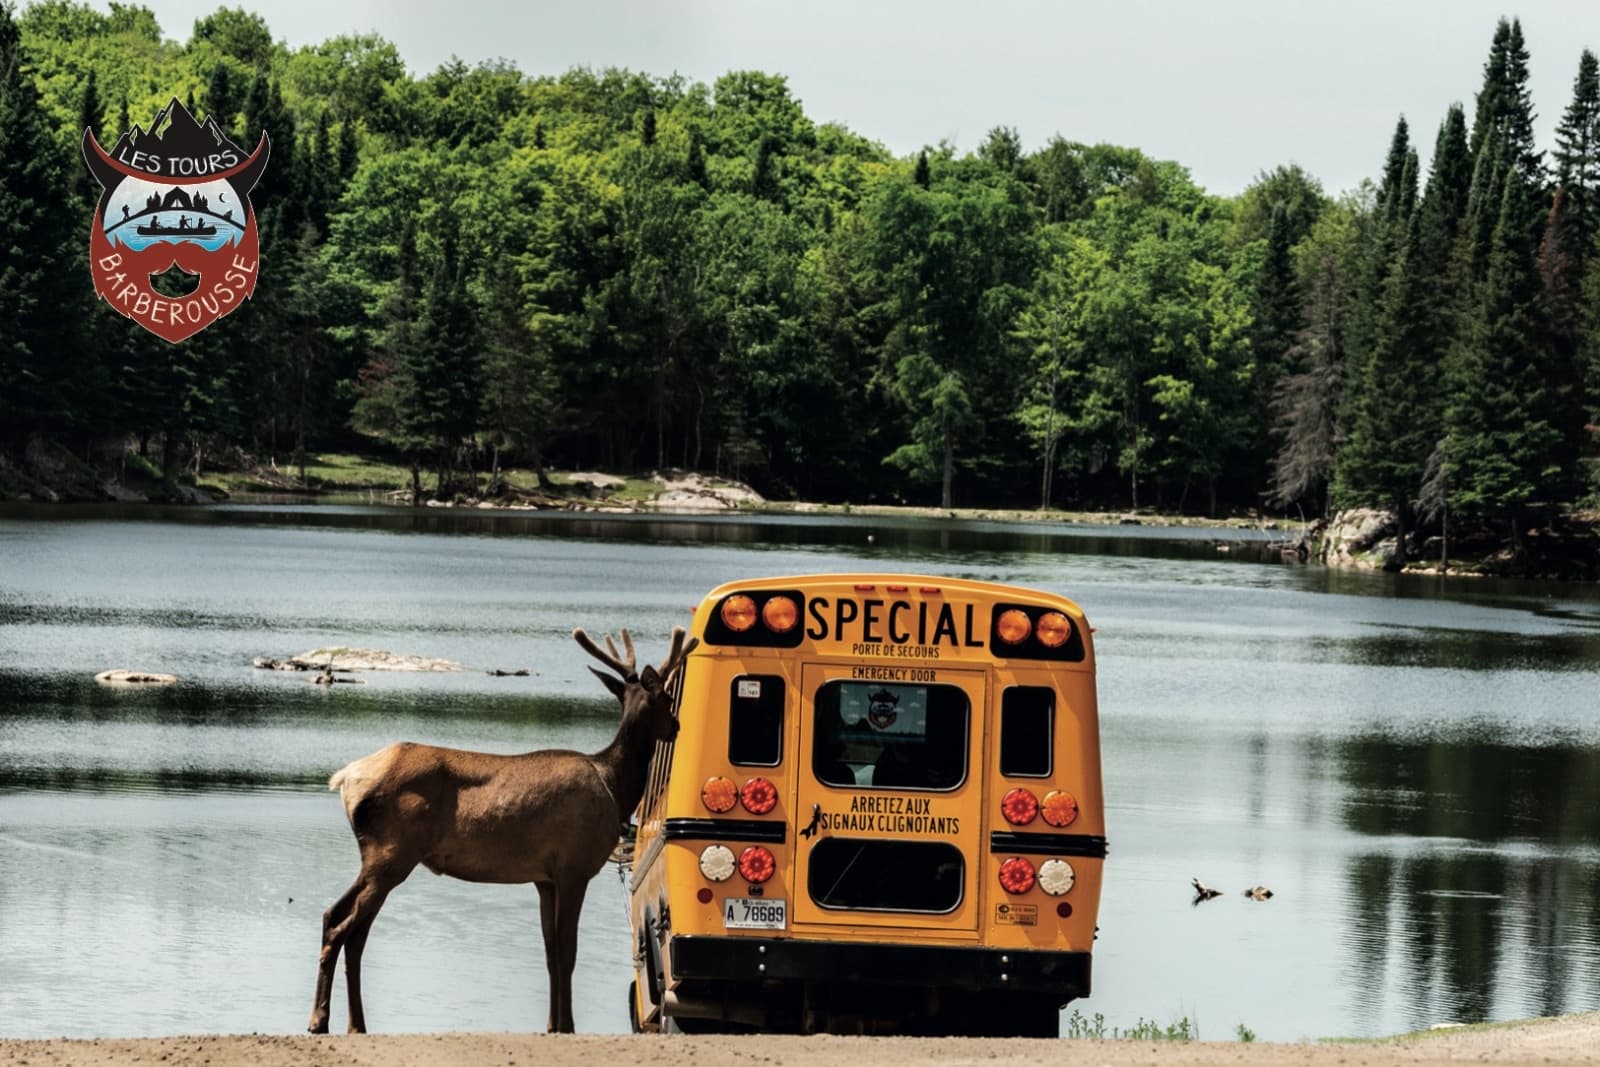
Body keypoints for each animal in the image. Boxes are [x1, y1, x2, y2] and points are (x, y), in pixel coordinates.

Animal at [307, 625, 697, 1035]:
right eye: (667, 696)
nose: (676, 726)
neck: (614, 786)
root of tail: (345, 779)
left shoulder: (545, 878)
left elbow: (551, 953)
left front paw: (551, 1024)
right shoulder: (574, 866)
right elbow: (568, 951)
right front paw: (568, 1026)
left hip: (382, 856)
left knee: (349, 927)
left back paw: (355, 1024)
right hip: (390, 853)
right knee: (340, 922)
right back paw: (320, 1019)